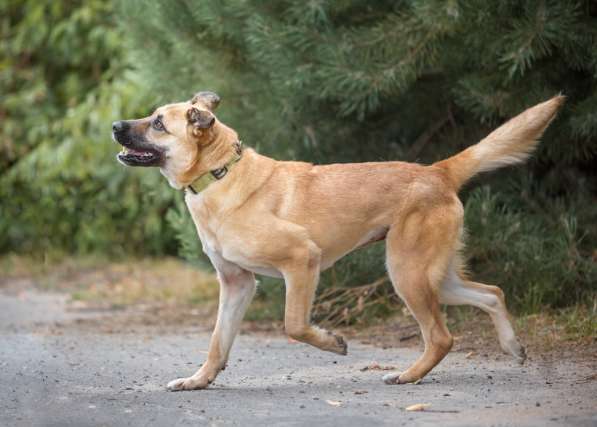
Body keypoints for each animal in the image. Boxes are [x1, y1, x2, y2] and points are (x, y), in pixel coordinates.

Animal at [112, 93, 564, 392]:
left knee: (442, 336)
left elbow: (294, 325)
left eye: (157, 123)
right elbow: (217, 343)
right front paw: (198, 381)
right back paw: (512, 347)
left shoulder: (301, 262)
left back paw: (408, 375)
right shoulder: (237, 284)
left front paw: (333, 343)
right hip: (434, 276)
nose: (115, 127)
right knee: (492, 293)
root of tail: (437, 171)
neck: (221, 174)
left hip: (407, 274)